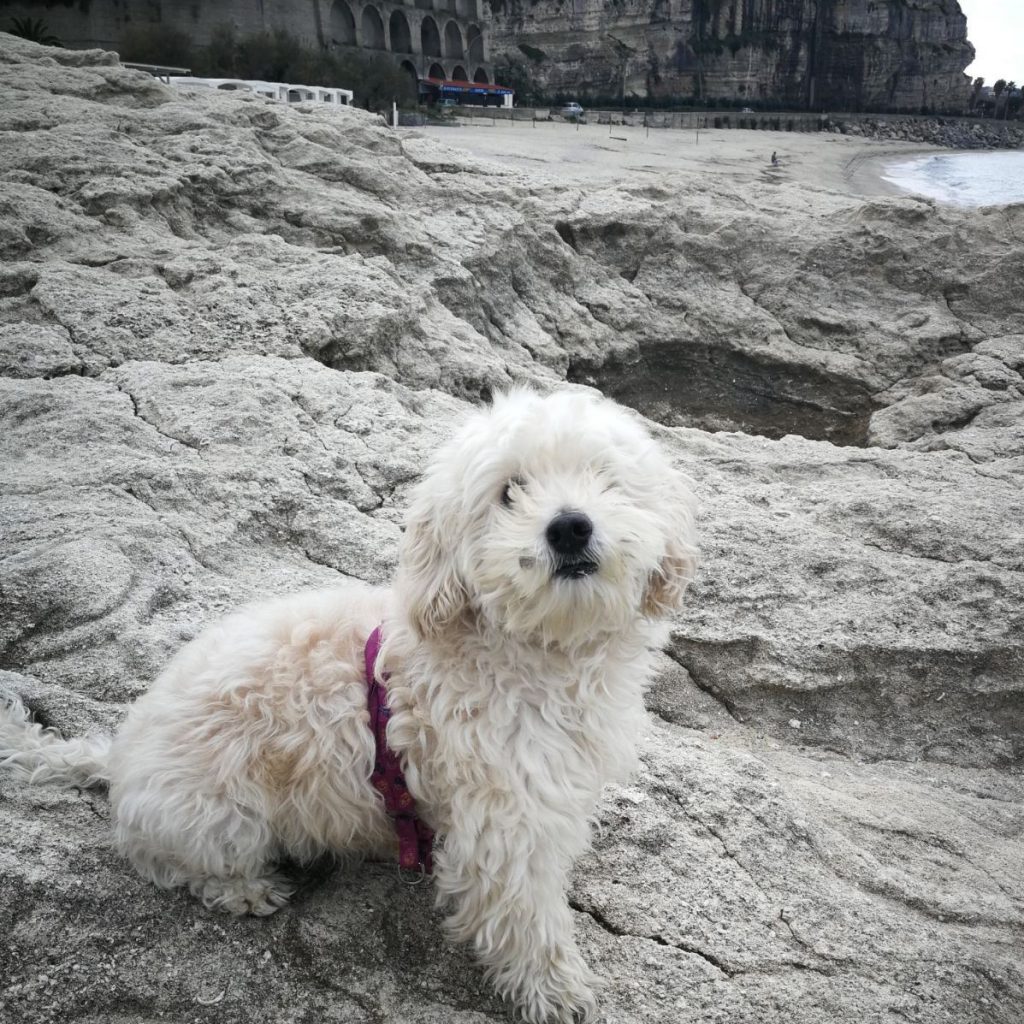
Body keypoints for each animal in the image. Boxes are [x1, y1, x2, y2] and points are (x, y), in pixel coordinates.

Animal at [0, 385, 696, 1024]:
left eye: (605, 479)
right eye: (508, 492)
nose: (570, 525)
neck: (531, 649)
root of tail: (117, 753)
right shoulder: (506, 824)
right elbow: (524, 917)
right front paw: (557, 992)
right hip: (218, 819)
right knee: (174, 865)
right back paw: (246, 889)